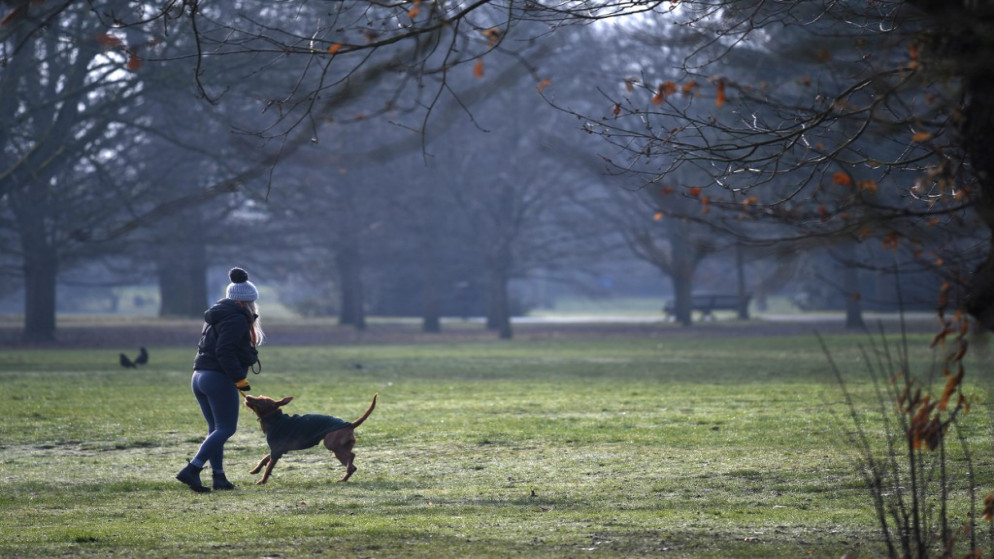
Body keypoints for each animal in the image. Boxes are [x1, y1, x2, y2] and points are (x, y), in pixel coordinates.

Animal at [244, 394, 376, 486]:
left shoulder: (276, 451)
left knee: (352, 456)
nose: (248, 396)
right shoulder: (278, 450)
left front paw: (262, 481)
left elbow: (268, 468)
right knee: (353, 466)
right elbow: (264, 459)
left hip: (331, 445)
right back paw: (343, 479)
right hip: (338, 451)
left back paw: (346, 472)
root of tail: (349, 425)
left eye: (262, 400)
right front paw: (255, 470)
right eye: (259, 396)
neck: (274, 419)